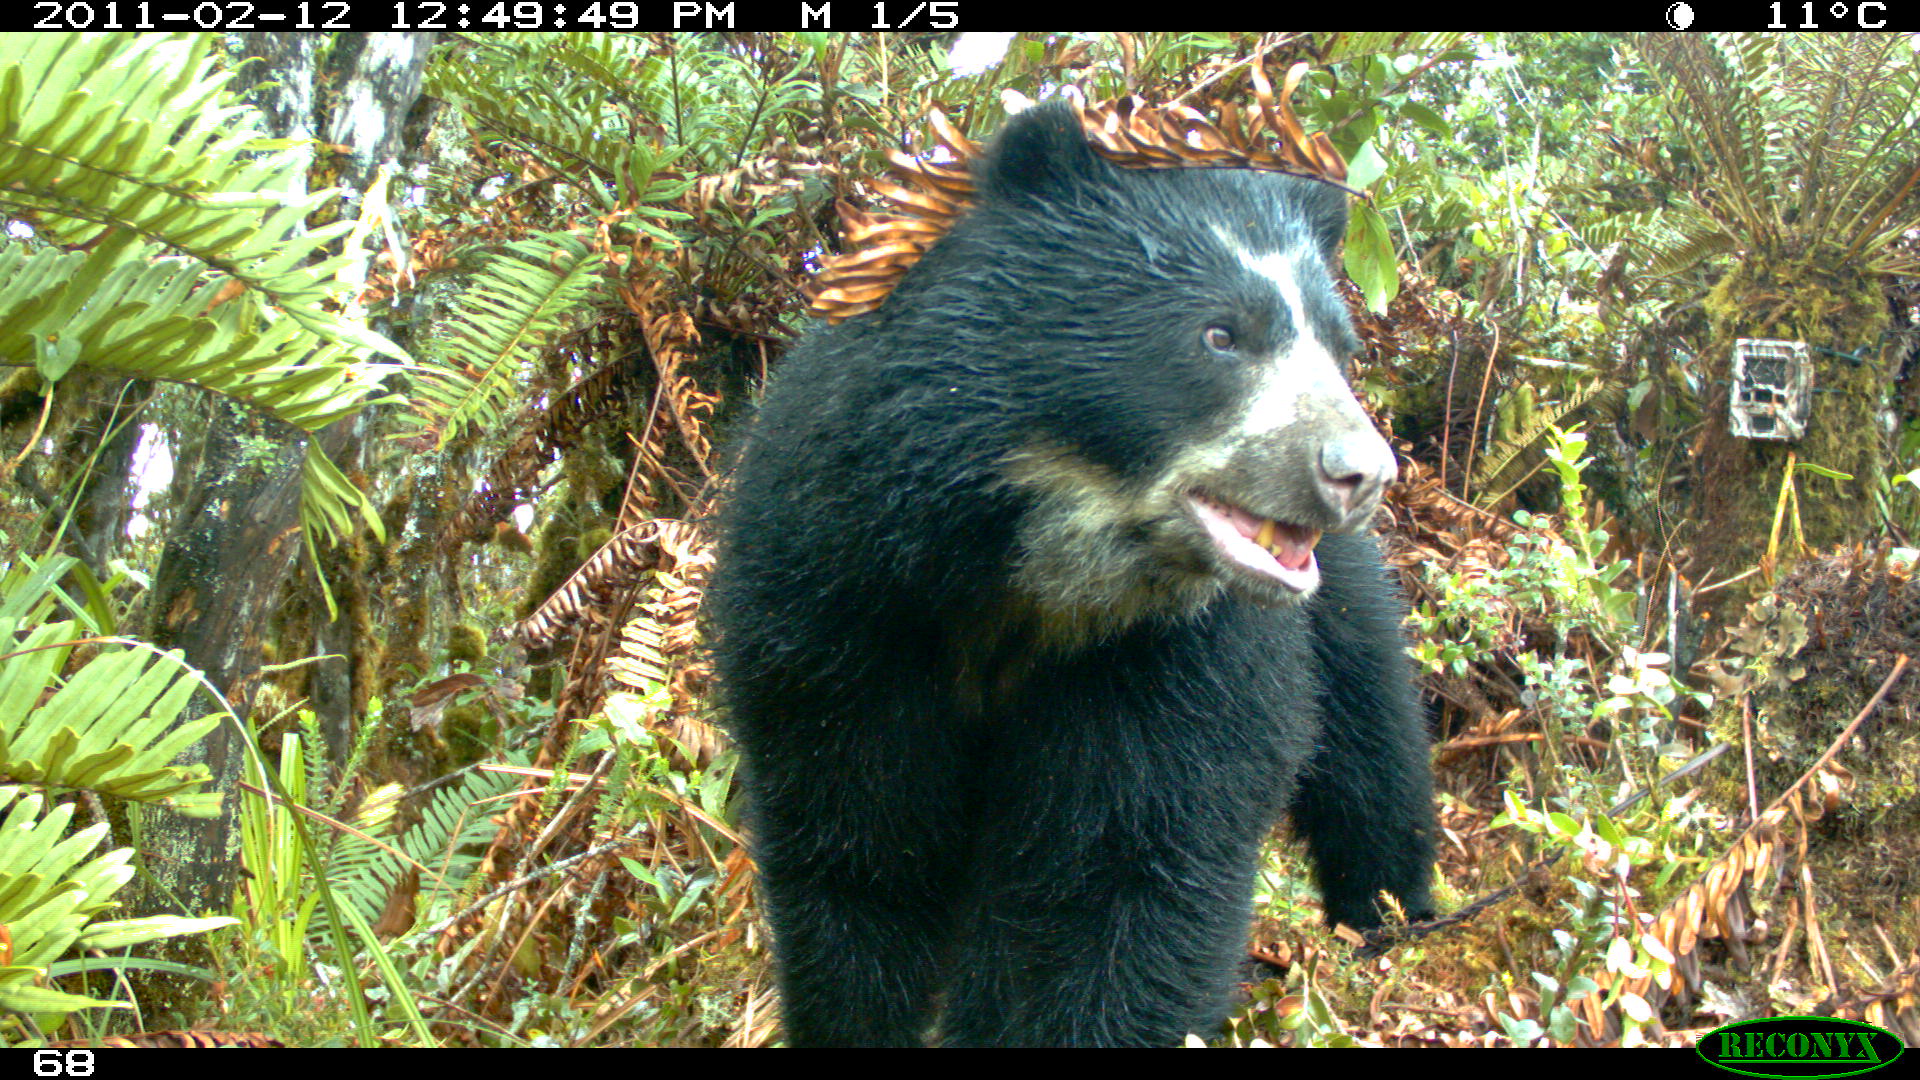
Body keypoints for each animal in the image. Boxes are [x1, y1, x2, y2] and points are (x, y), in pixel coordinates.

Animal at [706, 100, 1435, 1047]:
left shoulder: (1176, 653)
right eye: (1219, 334)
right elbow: (857, 841)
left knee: (1373, 741)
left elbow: (1126, 870)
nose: (1359, 472)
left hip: (1336, 601)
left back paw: (1390, 919)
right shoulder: (836, 596)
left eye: (1339, 350)